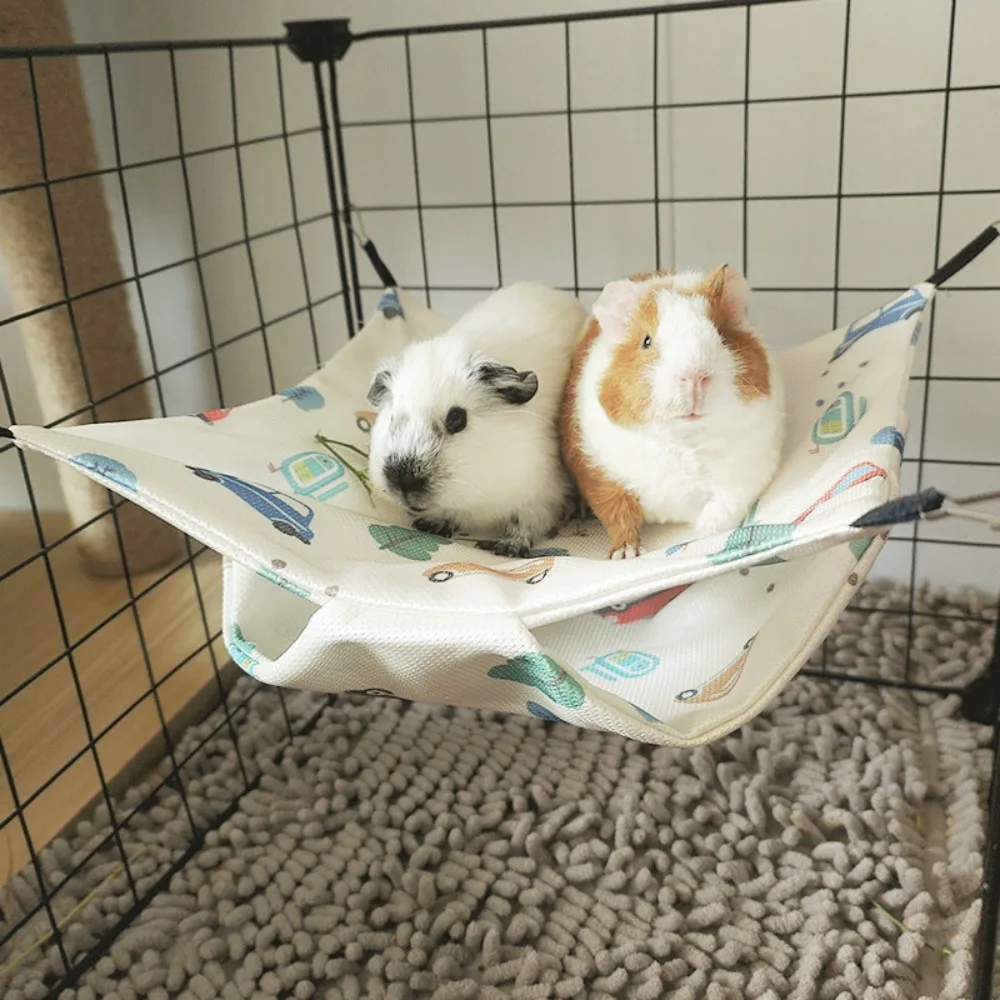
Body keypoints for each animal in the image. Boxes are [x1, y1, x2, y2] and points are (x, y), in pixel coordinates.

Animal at [367, 282, 588, 557]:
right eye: (392, 418)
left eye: (457, 419)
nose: (403, 481)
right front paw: (431, 525)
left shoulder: (541, 494)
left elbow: (526, 524)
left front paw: (505, 548)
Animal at [560, 265, 785, 559]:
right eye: (646, 341)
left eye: (721, 334)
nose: (695, 376)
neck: (684, 441)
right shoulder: (600, 475)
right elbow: (619, 514)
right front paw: (627, 554)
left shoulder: (748, 474)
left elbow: (723, 508)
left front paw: (702, 535)